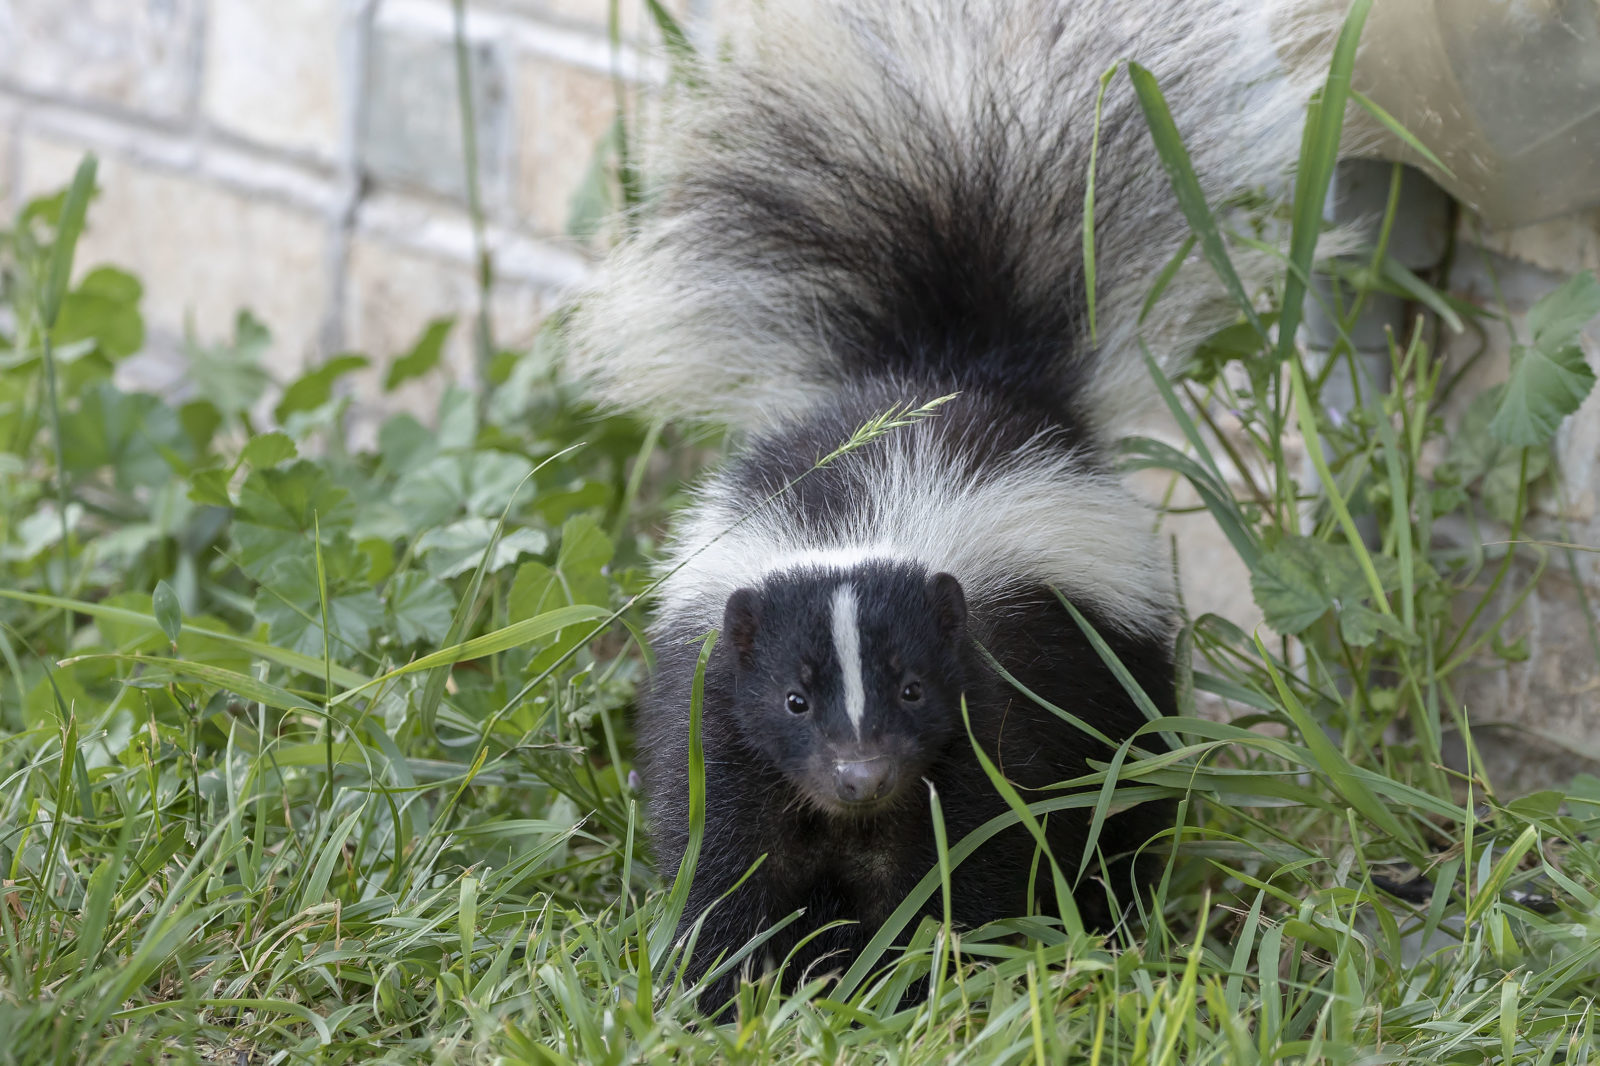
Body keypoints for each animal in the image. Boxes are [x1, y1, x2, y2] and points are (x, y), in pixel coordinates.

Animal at [569, 0, 1331, 1005]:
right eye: (794, 700)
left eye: (912, 686)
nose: (860, 774)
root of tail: (956, 366)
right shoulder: (718, 717)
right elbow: (729, 857)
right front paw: (721, 987)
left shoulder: (990, 709)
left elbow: (964, 855)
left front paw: (922, 983)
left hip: (1119, 674)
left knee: (1126, 802)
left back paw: (1115, 914)